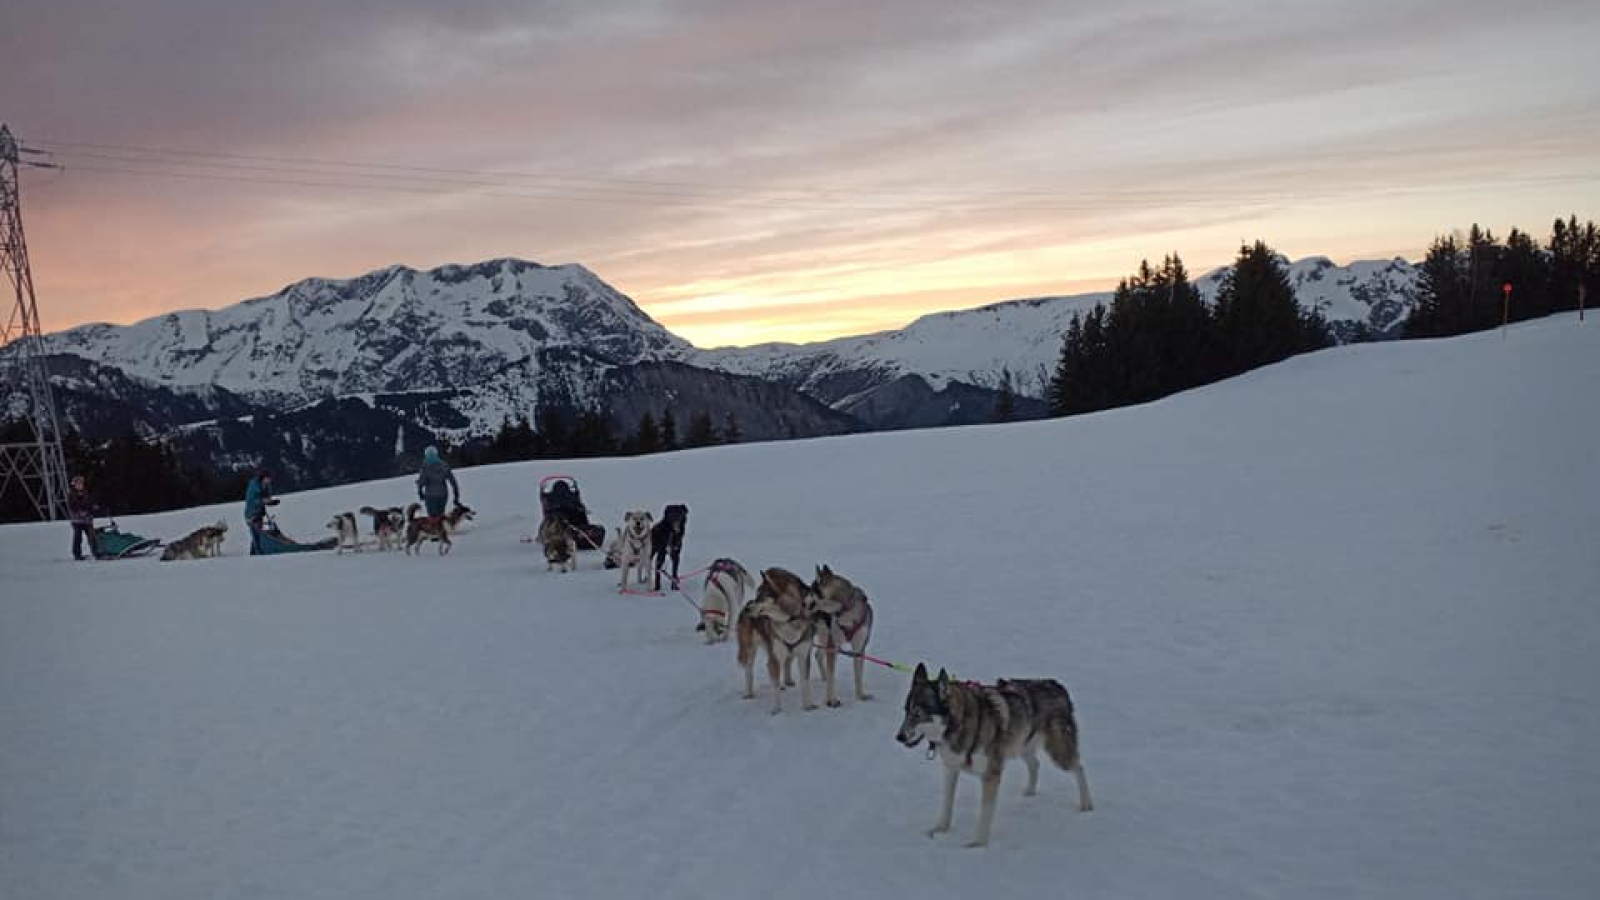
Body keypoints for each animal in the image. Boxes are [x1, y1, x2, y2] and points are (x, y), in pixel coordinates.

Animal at [732, 570, 819, 711]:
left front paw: (807, 706)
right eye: (757, 594)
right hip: (749, 650)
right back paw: (749, 693)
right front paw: (777, 710)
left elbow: (805, 683)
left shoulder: (803, 656)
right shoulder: (775, 657)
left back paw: (785, 683)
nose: (747, 609)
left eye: (760, 596)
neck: (789, 620)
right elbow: (775, 686)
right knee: (749, 671)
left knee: (784, 665)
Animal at [812, 563, 876, 704]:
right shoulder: (833, 646)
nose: (801, 602)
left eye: (811, 591)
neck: (845, 610)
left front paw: (860, 695)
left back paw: (824, 677)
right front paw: (831, 699)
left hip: (825, 636)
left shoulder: (859, 648)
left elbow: (858, 676)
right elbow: (832, 677)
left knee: (818, 655)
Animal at [896, 662, 1094, 845]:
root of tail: (1057, 685)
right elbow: (947, 803)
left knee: (1079, 766)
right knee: (1035, 764)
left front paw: (978, 844)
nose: (899, 737)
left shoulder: (991, 775)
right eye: (905, 710)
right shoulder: (951, 769)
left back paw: (1086, 804)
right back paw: (1030, 791)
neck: (965, 724)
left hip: (1059, 753)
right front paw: (940, 829)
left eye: (918, 713)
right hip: (1022, 745)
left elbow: (985, 814)